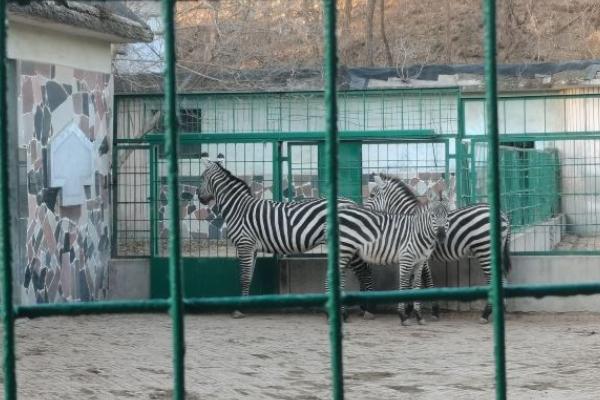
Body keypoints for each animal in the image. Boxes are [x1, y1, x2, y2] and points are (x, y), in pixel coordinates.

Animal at [199, 158, 354, 318]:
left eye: (202, 178)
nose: (199, 198)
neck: (238, 209)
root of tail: (350, 201)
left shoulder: (245, 244)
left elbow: (244, 278)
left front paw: (240, 308)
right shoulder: (252, 248)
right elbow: (249, 276)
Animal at [336, 189, 448, 324]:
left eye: (447, 216)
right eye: (432, 216)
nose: (441, 236)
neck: (418, 232)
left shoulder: (420, 261)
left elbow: (416, 285)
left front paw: (419, 315)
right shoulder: (406, 259)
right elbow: (404, 285)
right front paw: (403, 315)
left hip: (348, 253)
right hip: (345, 250)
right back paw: (341, 314)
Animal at [360, 173, 510, 324]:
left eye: (372, 195)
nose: (363, 211)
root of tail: (503, 215)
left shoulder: (420, 255)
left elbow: (425, 279)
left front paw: (430, 311)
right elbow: (416, 279)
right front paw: (411, 310)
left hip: (485, 249)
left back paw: (486, 314)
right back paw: (500, 310)